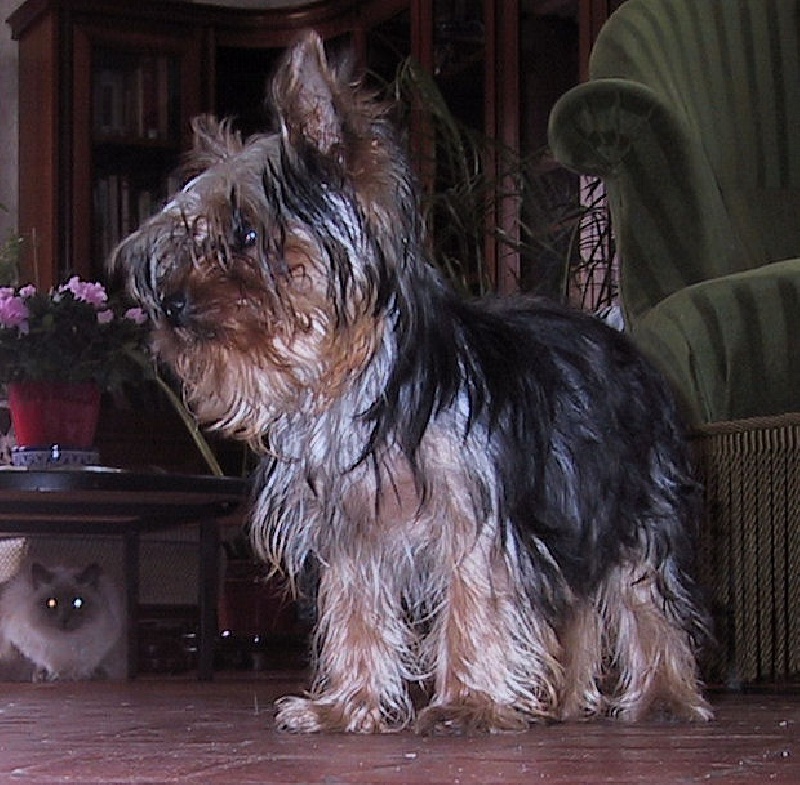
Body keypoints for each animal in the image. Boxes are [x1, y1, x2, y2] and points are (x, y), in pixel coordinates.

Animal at [111, 30, 712, 733]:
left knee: (646, 595)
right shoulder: (351, 525)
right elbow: (356, 610)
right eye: (186, 243)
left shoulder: (473, 509)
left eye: (248, 234)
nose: (171, 308)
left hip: (636, 495)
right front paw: (347, 705)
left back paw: (665, 696)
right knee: (576, 603)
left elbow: (475, 599)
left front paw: (468, 704)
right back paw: (562, 701)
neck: (354, 382)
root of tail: (618, 335)